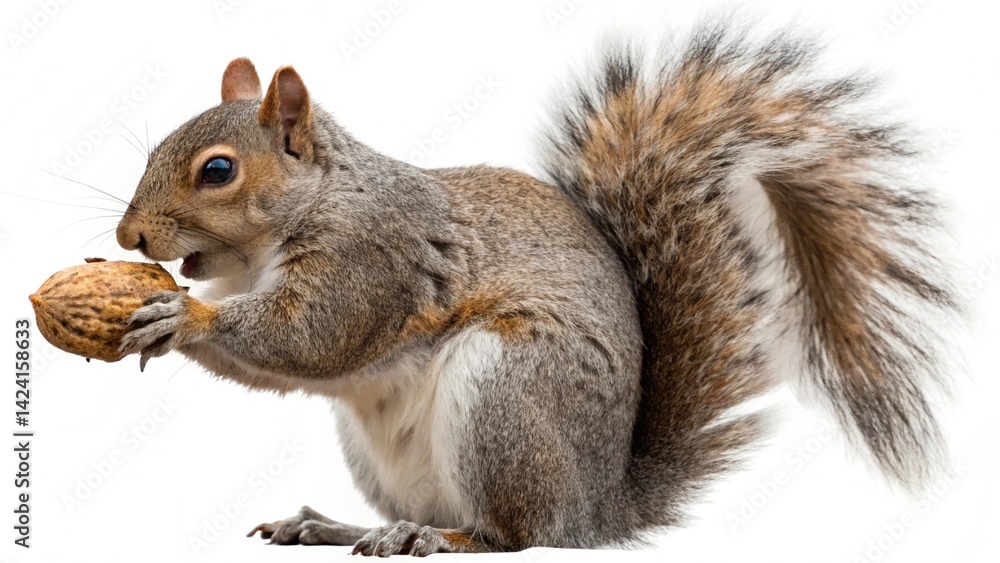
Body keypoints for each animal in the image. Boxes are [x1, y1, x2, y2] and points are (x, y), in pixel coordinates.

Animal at [114, 21, 958, 556]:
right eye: (154, 149)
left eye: (217, 171)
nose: (129, 240)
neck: (315, 201)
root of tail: (599, 506)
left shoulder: (372, 255)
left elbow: (309, 337)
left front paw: (181, 314)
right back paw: (343, 528)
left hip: (506, 390)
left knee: (514, 536)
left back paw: (436, 538)